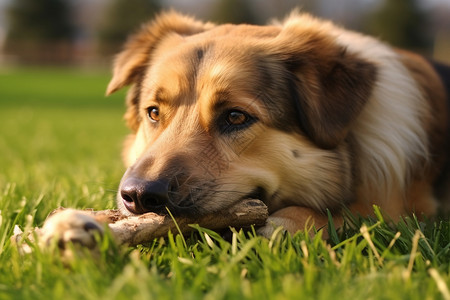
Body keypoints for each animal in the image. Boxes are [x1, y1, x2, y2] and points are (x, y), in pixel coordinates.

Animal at [40, 11, 448, 246]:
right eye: (153, 113)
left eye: (236, 117)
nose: (139, 196)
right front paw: (73, 223)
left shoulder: (403, 210)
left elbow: (346, 215)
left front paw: (293, 222)